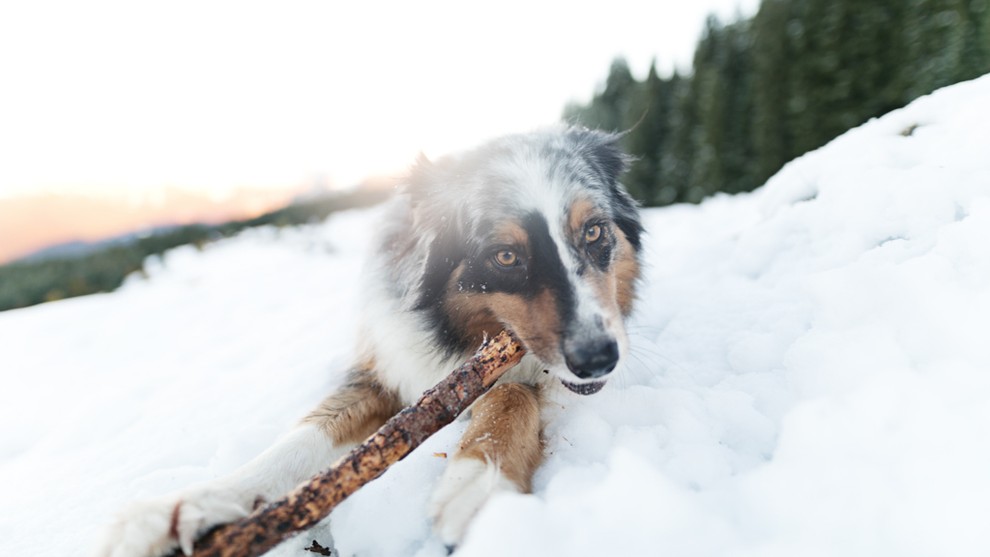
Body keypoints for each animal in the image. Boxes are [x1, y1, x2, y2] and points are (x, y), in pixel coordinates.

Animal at [97, 127, 648, 556]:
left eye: (594, 231)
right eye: (506, 256)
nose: (599, 357)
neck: (452, 334)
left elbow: (510, 396)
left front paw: (477, 487)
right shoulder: (384, 368)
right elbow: (302, 438)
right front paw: (187, 506)